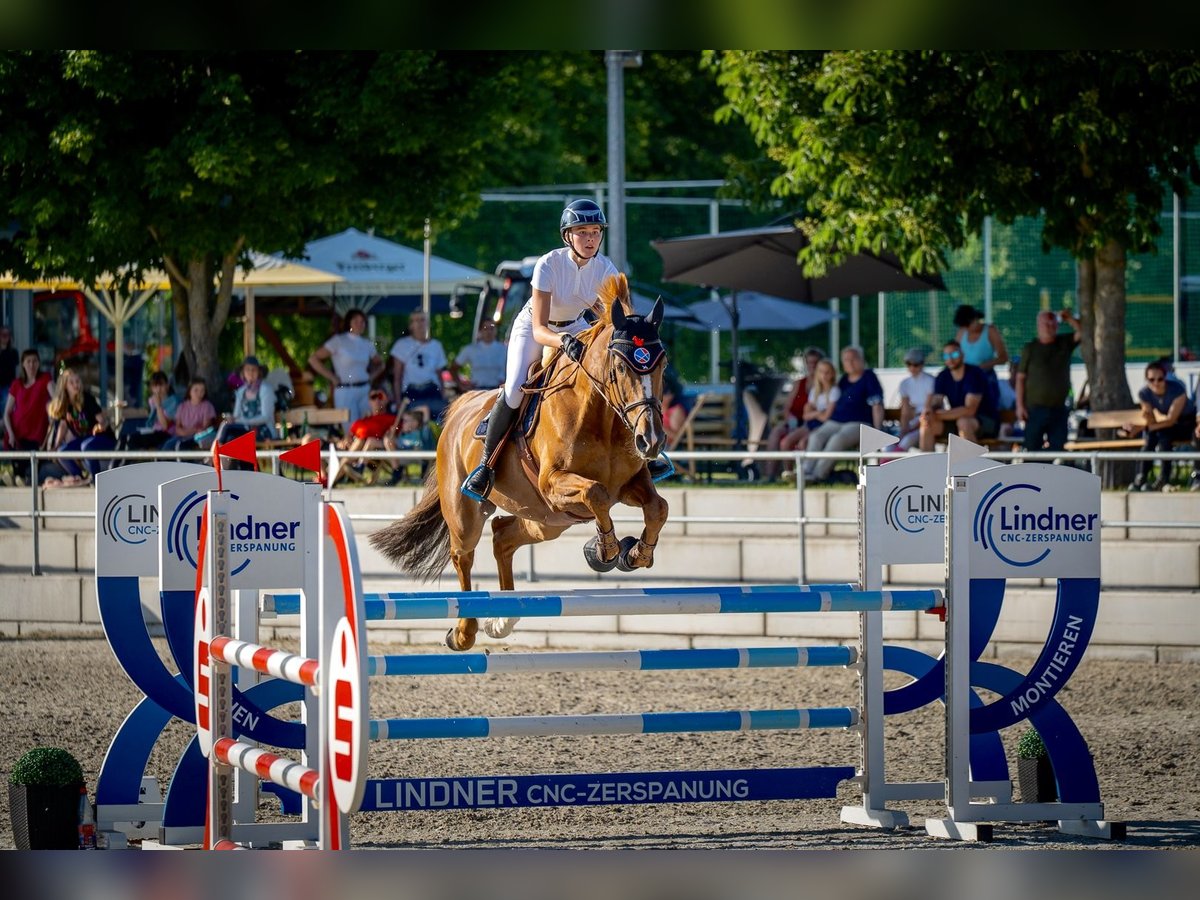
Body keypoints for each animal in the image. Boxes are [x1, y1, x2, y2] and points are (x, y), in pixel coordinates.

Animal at [370, 274, 670, 651]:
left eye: (662, 364)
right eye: (619, 367)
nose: (651, 440)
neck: (600, 418)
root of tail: (461, 406)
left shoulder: (631, 484)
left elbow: (658, 507)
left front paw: (635, 554)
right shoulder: (554, 482)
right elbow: (597, 494)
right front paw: (604, 550)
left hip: (547, 520)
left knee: (502, 535)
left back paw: (503, 620)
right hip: (469, 514)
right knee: (463, 555)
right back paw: (464, 633)